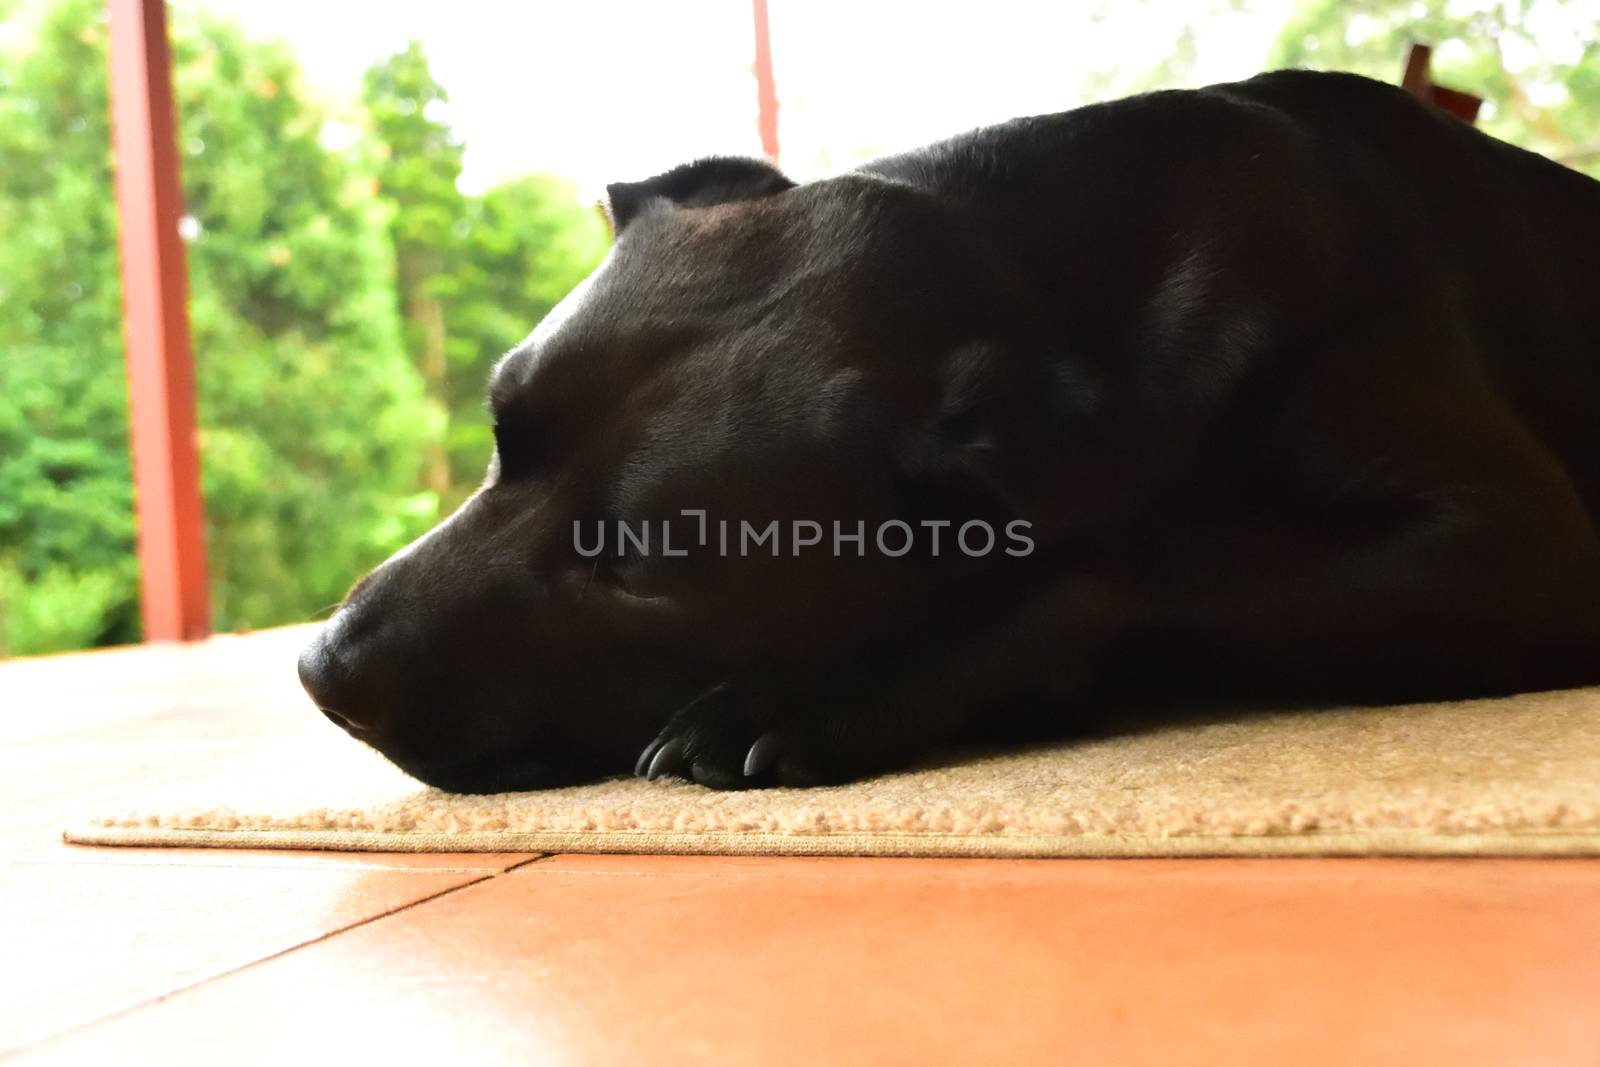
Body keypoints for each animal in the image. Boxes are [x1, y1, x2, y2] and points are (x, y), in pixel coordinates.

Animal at [297, 70, 1600, 793]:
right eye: (500, 430)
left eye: (643, 567)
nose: (323, 671)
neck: (1048, 282)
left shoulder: (1510, 542)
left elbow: (1121, 564)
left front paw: (805, 696)